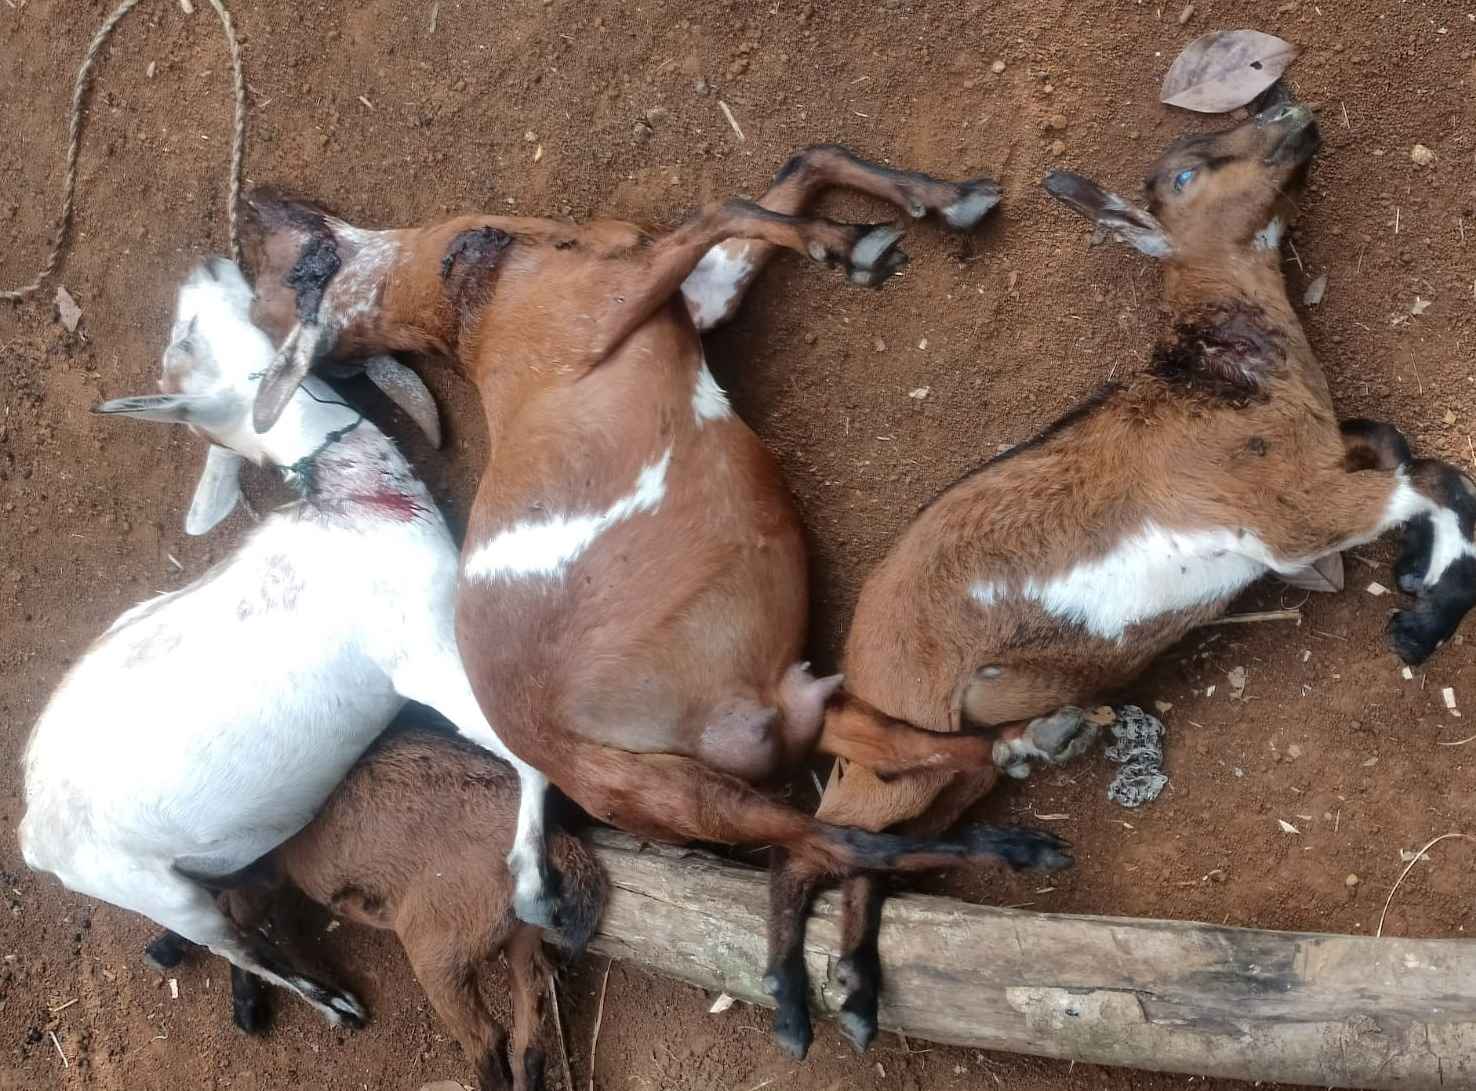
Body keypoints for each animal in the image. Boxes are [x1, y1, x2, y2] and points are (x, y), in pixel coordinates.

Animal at [143, 726, 605, 1091]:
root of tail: (559, 845)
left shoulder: (259, 874)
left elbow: (237, 928)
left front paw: (246, 1009)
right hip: (522, 941)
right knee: (531, 1038)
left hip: (437, 946)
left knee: (488, 1037)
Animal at [242, 145, 1074, 1057]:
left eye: (282, 271)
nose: (254, 203)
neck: (470, 289)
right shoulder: (620, 300)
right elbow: (730, 202)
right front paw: (853, 249)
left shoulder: (689, 296)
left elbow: (795, 171)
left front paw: (946, 201)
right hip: (690, 794)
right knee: (836, 837)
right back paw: (1008, 854)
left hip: (796, 712)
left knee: (914, 766)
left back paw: (1032, 742)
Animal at [773, 102, 1476, 1051]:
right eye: (1183, 175)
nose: (1289, 109)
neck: (1218, 372)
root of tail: (856, 652)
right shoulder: (1288, 514)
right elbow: (1439, 474)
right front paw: (1421, 621)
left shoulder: (1317, 471)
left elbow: (1396, 441)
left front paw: (1411, 573)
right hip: (900, 732)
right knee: (813, 840)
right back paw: (789, 1000)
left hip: (947, 770)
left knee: (875, 849)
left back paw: (858, 984)